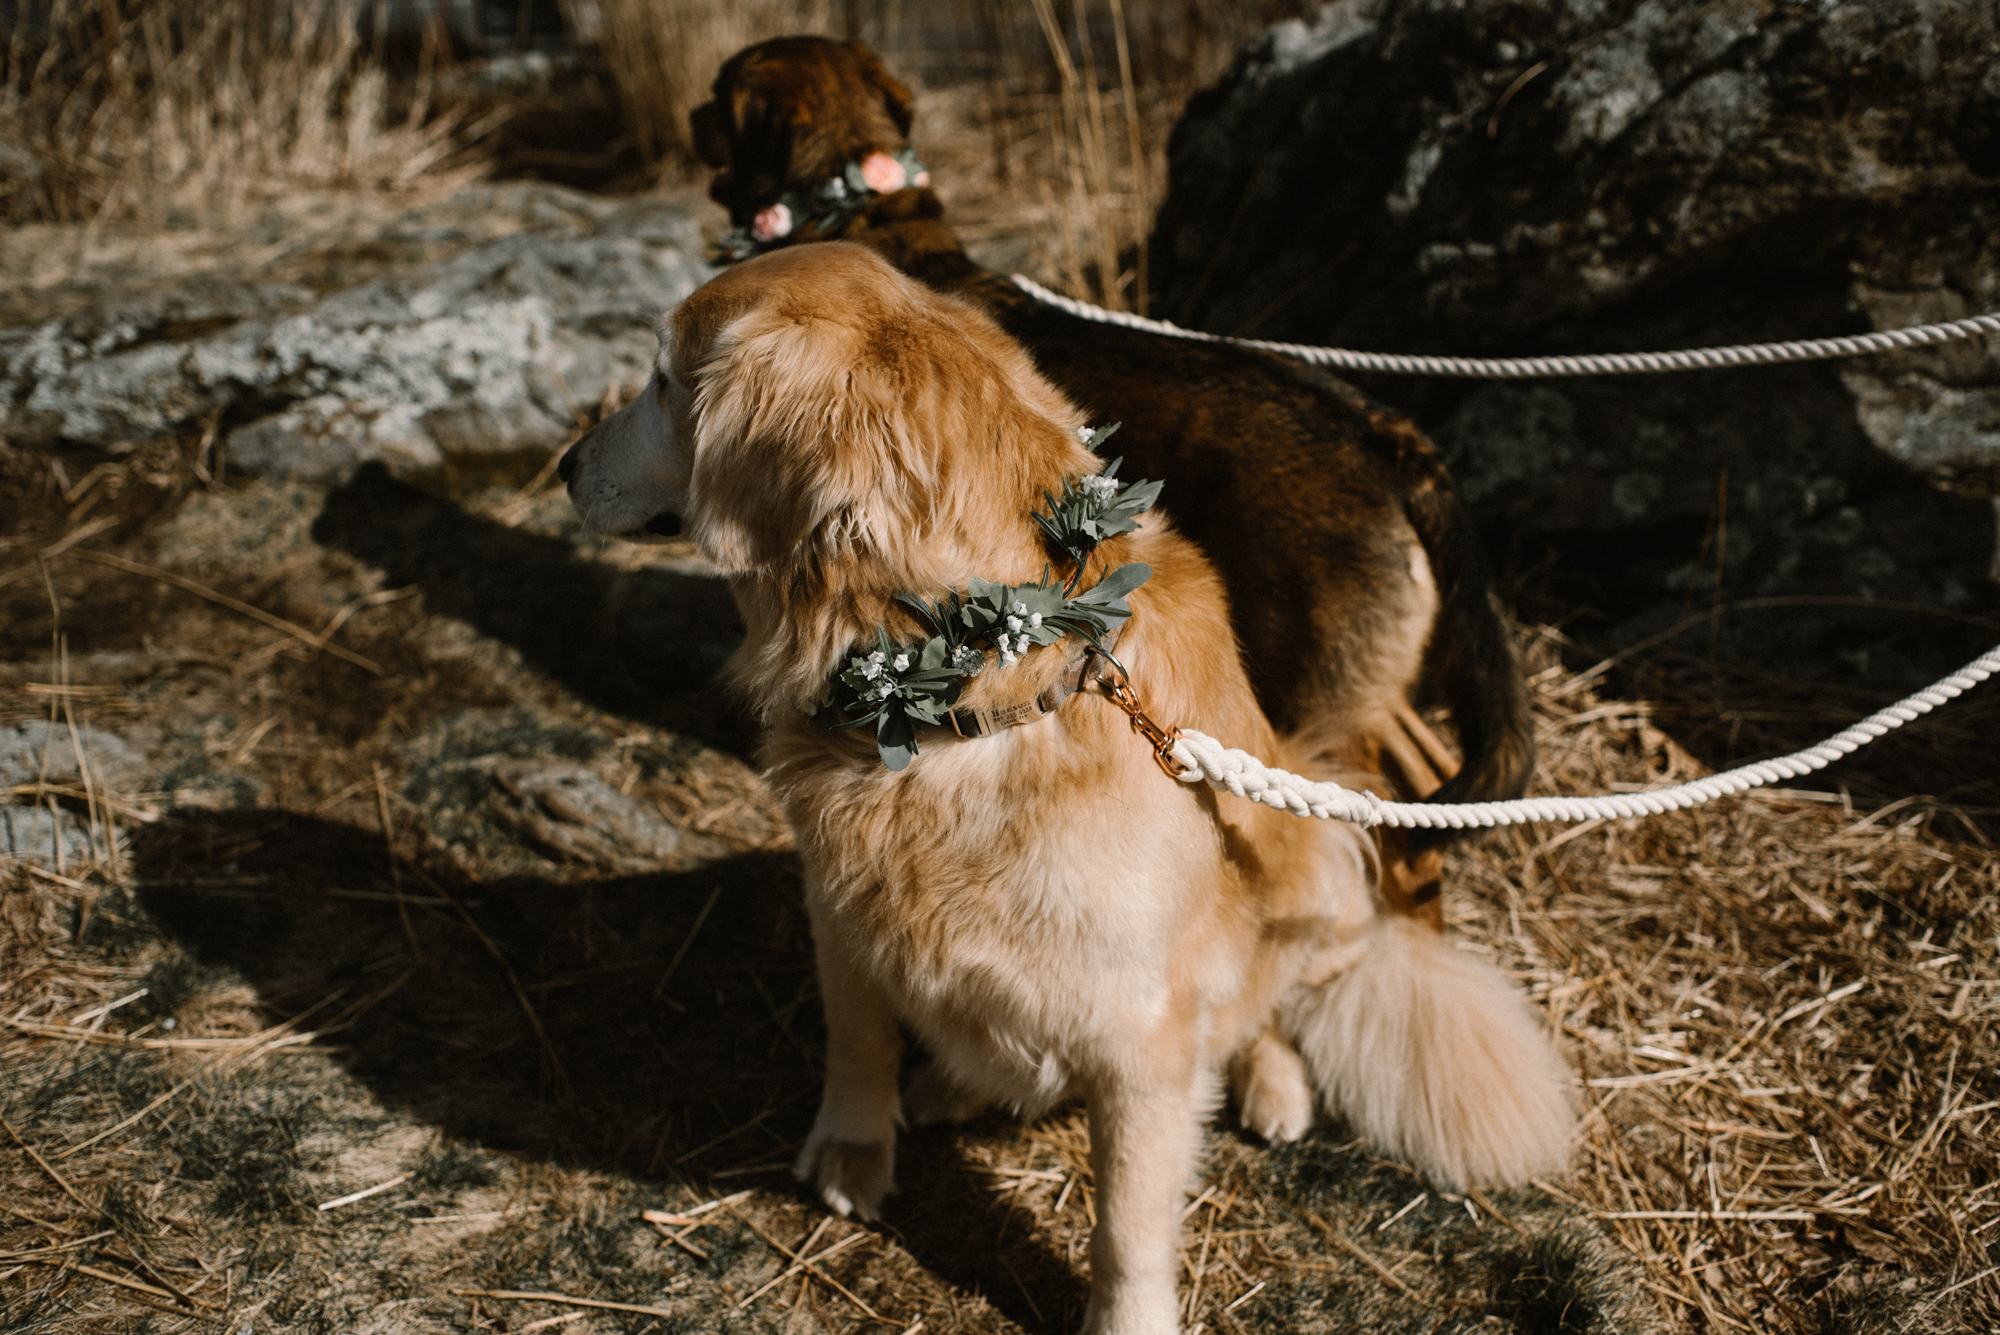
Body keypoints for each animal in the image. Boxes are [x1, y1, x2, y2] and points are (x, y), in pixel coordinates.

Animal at [564, 244, 1576, 1327]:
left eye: (662, 381)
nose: (564, 466)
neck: (971, 695)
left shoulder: (1143, 1038)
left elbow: (1126, 1221)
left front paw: (1125, 1313)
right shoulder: (838, 905)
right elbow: (858, 1039)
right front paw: (854, 1146)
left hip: (1324, 854)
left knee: (1273, 998)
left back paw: (1271, 1083)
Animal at [688, 33, 1528, 875]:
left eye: (719, 93)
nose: (691, 114)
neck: (860, 198)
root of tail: (1384, 434)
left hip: (1319, 694)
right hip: (1364, 692)